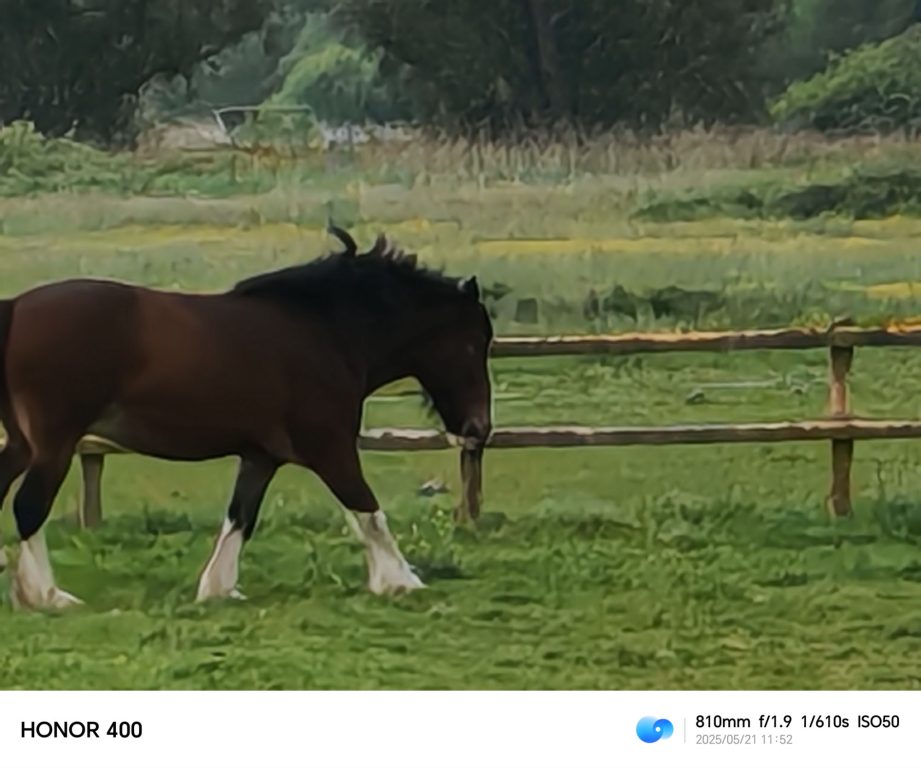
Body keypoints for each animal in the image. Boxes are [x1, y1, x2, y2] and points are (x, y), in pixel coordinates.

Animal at [0, 227, 493, 609]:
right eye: (474, 343)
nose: (479, 429)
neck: (324, 330)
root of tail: (15, 307)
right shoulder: (330, 448)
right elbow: (368, 509)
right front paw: (400, 581)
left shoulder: (261, 457)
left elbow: (240, 517)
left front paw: (218, 589)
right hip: (54, 444)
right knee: (29, 506)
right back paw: (48, 596)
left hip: (22, 444)